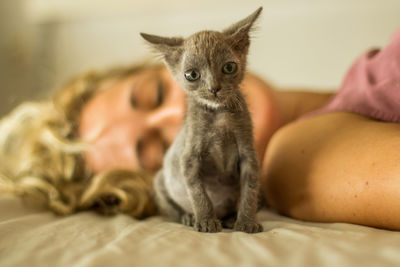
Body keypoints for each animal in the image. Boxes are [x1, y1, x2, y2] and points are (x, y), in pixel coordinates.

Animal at [142, 7, 264, 234]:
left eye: (229, 68)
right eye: (192, 74)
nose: (213, 88)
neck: (219, 115)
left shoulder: (249, 154)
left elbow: (250, 189)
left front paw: (246, 221)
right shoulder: (189, 157)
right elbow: (198, 193)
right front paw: (206, 220)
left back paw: (230, 218)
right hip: (160, 179)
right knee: (172, 211)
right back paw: (189, 217)